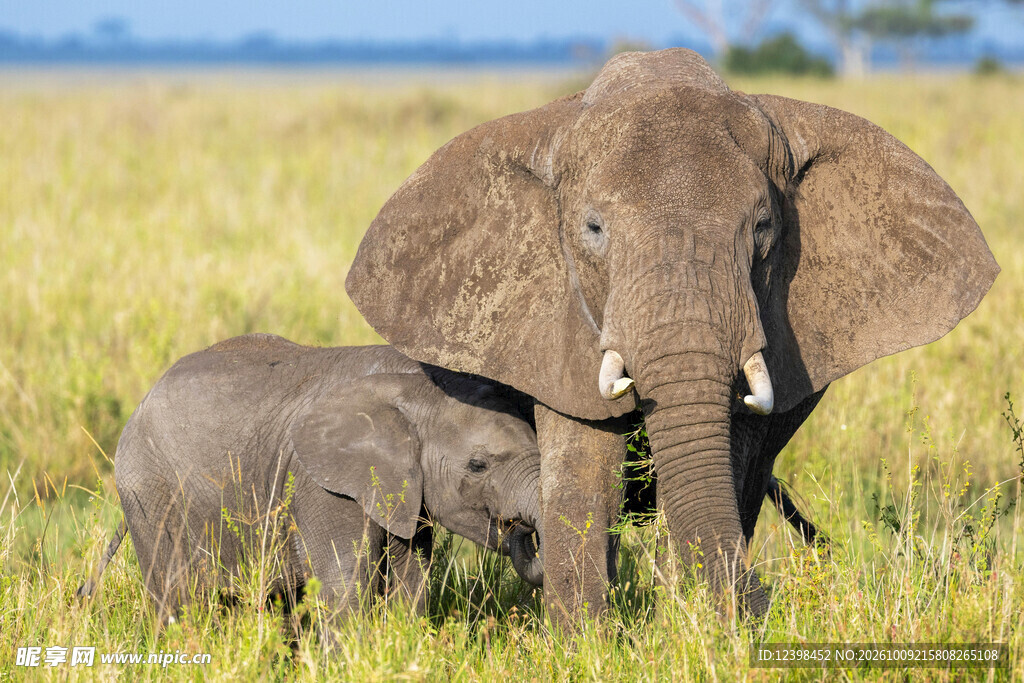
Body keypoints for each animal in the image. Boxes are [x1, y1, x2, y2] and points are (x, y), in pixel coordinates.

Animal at [78, 334, 544, 621]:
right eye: (478, 466)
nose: (522, 530)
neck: (419, 387)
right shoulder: (320, 485)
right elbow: (345, 586)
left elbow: (410, 580)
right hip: (149, 491)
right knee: (175, 597)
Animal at [345, 48, 998, 623]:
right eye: (593, 228)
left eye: (764, 227)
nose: (768, 605)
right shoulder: (555, 329)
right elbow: (584, 477)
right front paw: (587, 648)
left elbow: (726, 464)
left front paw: (694, 632)